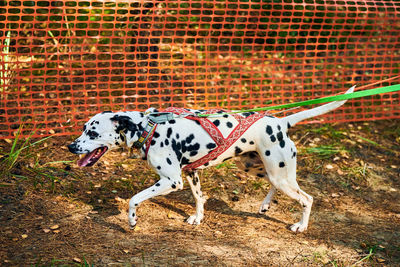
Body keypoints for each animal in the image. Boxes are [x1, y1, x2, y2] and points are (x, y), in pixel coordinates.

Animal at [67, 87, 354, 233]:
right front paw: (198, 218)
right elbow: (199, 198)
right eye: (83, 128)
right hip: (257, 168)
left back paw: (301, 226)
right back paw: (265, 205)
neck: (149, 128)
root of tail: (281, 122)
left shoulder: (172, 181)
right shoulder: (191, 174)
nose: (71, 146)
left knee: (307, 198)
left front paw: (132, 220)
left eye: (93, 133)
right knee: (277, 186)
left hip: (279, 173)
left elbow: (133, 199)